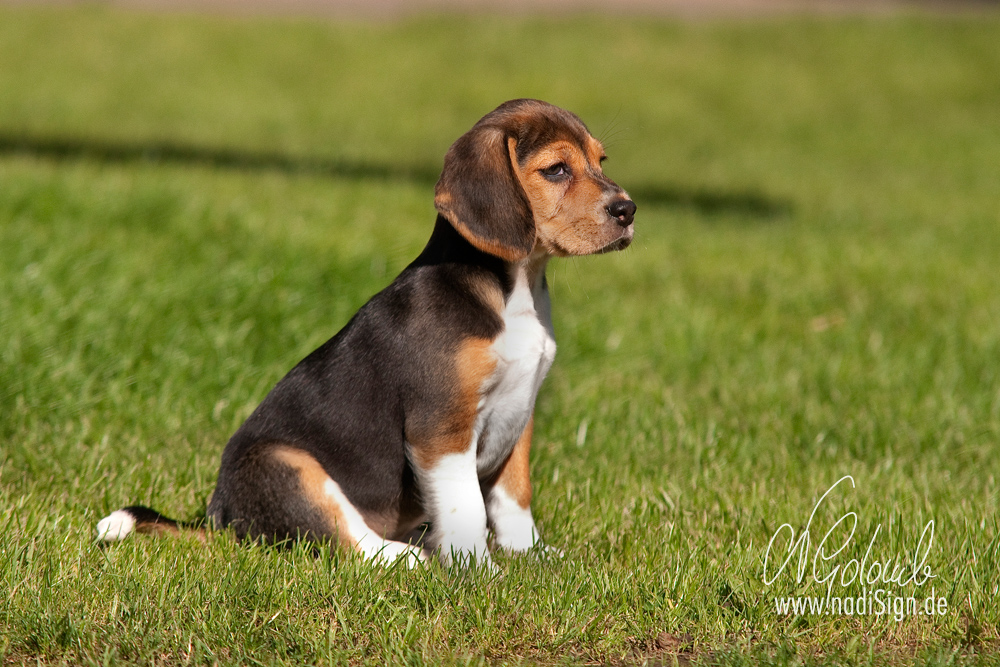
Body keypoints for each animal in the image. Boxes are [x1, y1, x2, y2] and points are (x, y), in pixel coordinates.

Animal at [97, 100, 636, 568]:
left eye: (600, 161)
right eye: (557, 170)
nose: (629, 210)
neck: (515, 292)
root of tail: (223, 522)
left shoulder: (519, 415)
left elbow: (514, 499)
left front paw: (533, 557)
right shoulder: (441, 429)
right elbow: (466, 507)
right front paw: (480, 573)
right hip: (287, 465)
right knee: (353, 543)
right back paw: (410, 558)